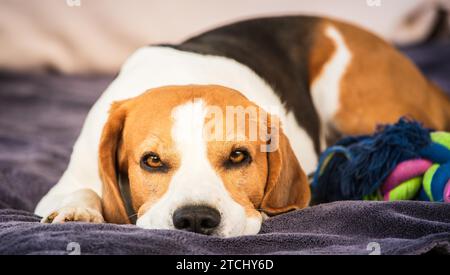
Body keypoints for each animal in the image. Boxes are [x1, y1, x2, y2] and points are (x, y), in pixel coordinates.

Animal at [36, 16, 450, 238]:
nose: (196, 219)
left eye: (238, 156)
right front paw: (79, 211)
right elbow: (81, 191)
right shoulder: (63, 184)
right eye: (151, 161)